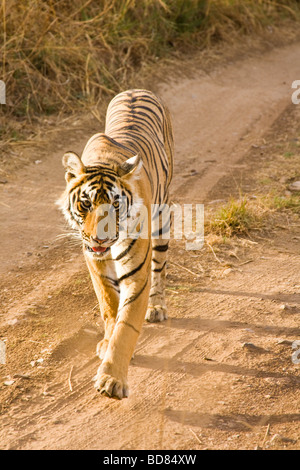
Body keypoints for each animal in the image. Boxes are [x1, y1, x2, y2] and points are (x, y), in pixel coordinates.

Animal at [57, 87, 173, 396]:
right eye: (85, 203)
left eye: (116, 206)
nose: (100, 238)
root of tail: (137, 89)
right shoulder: (95, 264)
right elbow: (109, 308)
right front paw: (106, 343)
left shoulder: (137, 275)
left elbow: (126, 325)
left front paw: (112, 379)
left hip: (163, 220)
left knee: (160, 267)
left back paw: (157, 307)